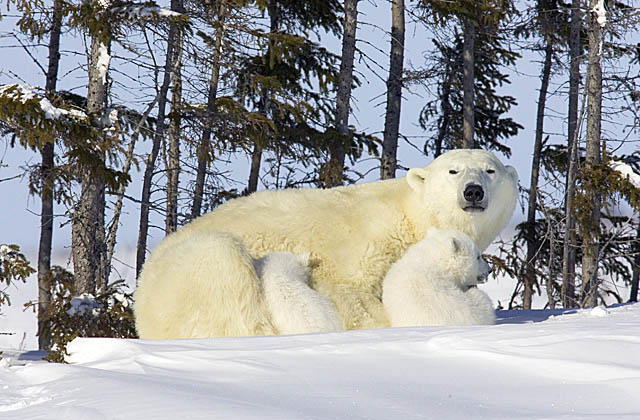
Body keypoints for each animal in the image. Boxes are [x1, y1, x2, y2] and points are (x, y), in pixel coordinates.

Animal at [134, 149, 516, 340]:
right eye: (453, 171)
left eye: (490, 170)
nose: (473, 192)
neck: (408, 217)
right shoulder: (361, 247)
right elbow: (351, 296)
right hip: (193, 271)